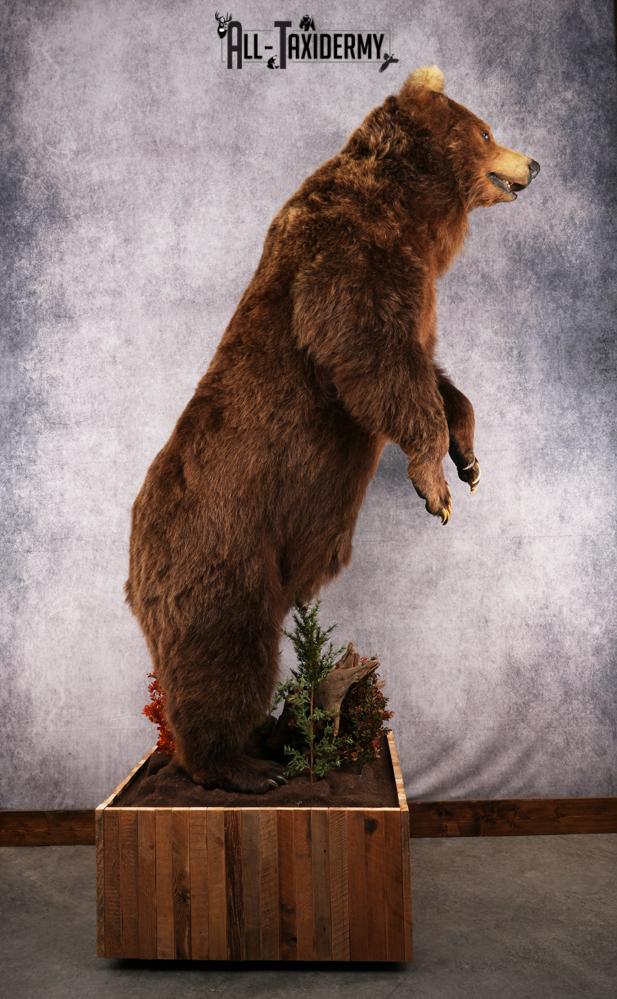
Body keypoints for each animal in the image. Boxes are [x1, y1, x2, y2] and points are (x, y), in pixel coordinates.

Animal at [124, 65, 540, 793]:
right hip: (219, 548)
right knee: (223, 652)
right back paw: (238, 767)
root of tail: (131, 559)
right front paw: (435, 487)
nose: (534, 162)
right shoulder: (344, 263)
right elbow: (369, 355)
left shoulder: (410, 295)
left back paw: (266, 743)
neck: (413, 220)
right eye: (487, 131)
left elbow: (435, 377)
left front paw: (468, 458)